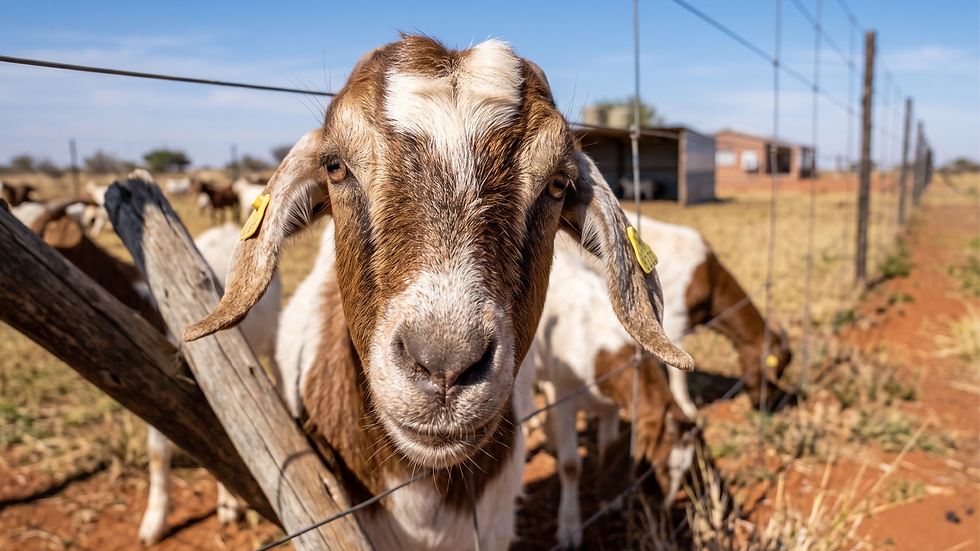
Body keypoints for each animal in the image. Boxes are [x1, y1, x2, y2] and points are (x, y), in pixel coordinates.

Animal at [519, 245, 698, 548]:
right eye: (660, 466)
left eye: (685, 470)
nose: (663, 510)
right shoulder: (567, 401)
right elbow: (570, 466)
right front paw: (569, 527)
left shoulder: (612, 407)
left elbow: (607, 447)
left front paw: (611, 502)